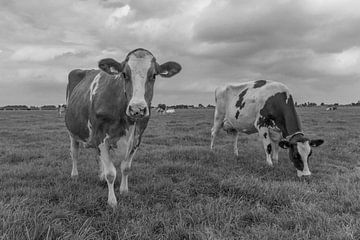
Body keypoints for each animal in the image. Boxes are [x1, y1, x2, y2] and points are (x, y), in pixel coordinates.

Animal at [64, 48, 181, 206]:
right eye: (124, 74)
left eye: (154, 75)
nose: (137, 109)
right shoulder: (101, 137)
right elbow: (111, 173)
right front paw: (112, 201)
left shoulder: (137, 138)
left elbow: (126, 167)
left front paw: (124, 190)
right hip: (72, 132)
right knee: (74, 153)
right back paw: (75, 175)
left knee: (97, 156)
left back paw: (100, 176)